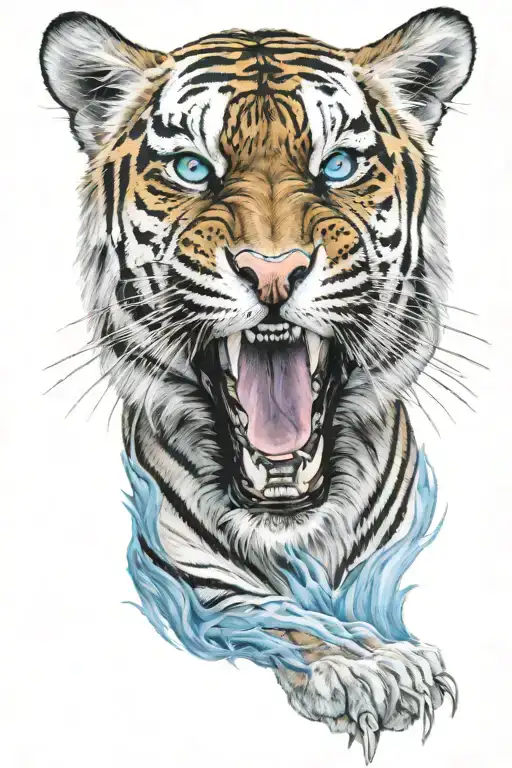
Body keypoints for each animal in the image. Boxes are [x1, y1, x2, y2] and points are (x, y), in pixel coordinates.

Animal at [40, 6, 475, 761]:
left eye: (338, 166)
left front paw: (389, 656)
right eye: (192, 169)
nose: (272, 271)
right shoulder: (190, 575)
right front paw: (359, 670)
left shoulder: (383, 555)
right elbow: (278, 614)